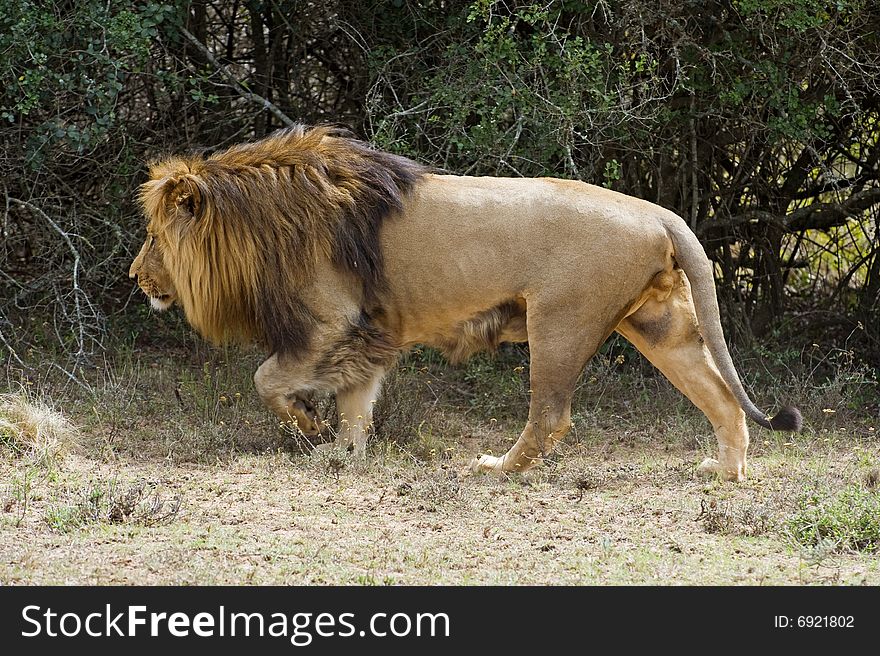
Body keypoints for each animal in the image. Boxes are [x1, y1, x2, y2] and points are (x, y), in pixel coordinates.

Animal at [131, 124, 804, 482]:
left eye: (155, 237)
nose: (137, 277)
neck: (261, 222)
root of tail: (659, 212)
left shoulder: (333, 325)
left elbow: (266, 380)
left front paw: (310, 427)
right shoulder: (369, 334)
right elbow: (356, 406)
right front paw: (344, 455)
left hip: (559, 322)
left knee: (550, 416)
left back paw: (496, 469)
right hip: (659, 324)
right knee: (722, 397)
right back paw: (724, 475)